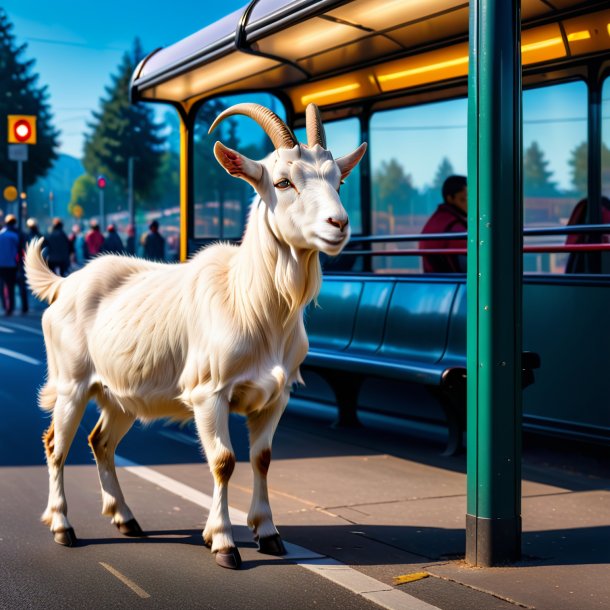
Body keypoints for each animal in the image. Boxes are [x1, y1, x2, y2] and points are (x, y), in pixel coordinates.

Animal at [26, 102, 364, 568]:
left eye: (339, 180)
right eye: (282, 181)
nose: (339, 224)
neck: (250, 300)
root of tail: (63, 284)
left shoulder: (277, 396)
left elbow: (262, 458)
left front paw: (268, 534)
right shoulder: (209, 392)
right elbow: (223, 461)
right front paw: (223, 543)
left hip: (120, 394)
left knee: (100, 442)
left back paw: (126, 519)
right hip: (71, 383)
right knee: (56, 445)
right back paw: (62, 526)